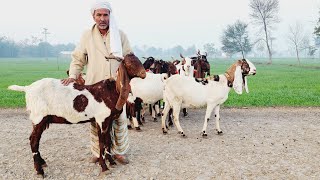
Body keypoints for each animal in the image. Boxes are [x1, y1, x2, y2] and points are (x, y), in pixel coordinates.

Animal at [8, 52, 146, 176]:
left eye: (139, 60)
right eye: (129, 63)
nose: (144, 74)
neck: (112, 90)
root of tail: (27, 88)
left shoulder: (108, 120)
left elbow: (108, 141)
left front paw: (111, 162)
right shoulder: (101, 120)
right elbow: (101, 143)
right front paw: (104, 167)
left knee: (34, 140)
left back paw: (42, 163)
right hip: (38, 118)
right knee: (33, 141)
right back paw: (39, 171)